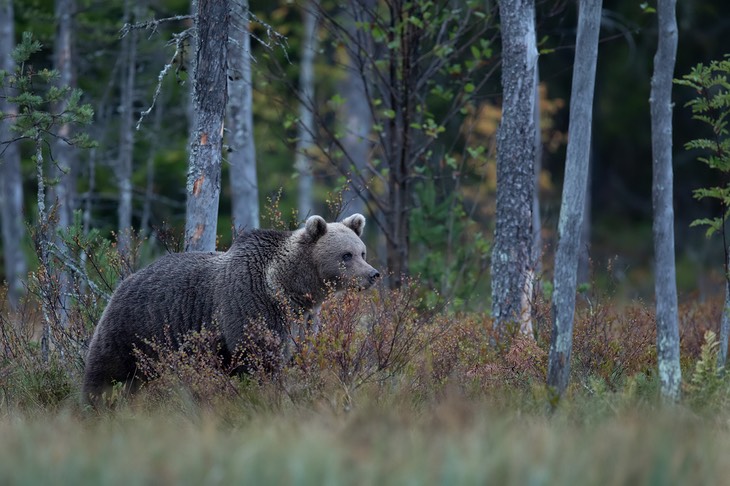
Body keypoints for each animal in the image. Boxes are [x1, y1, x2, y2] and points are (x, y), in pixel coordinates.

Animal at [82, 214, 378, 406]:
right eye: (346, 255)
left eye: (362, 252)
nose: (373, 274)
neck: (287, 286)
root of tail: (124, 280)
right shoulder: (251, 305)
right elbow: (259, 359)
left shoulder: (302, 320)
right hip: (134, 328)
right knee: (105, 373)